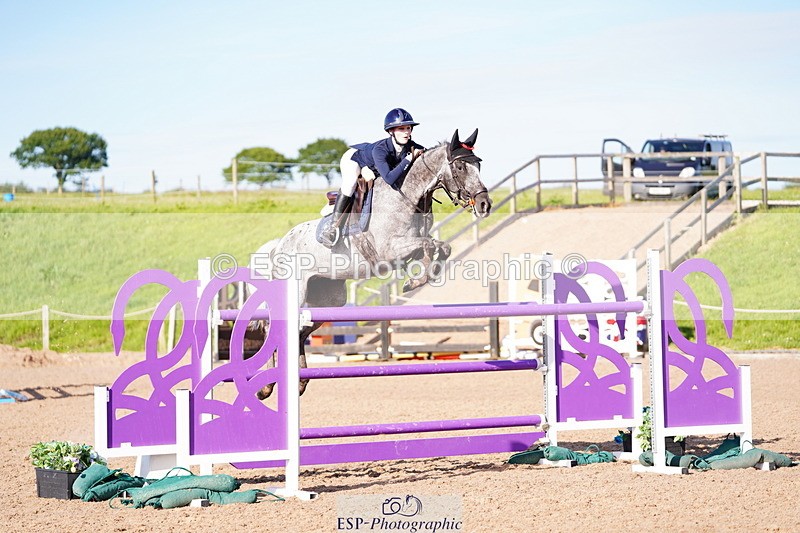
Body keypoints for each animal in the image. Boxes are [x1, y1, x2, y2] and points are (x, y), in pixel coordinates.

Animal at [254, 129, 491, 398]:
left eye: (479, 164)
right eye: (460, 166)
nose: (485, 205)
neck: (406, 198)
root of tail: (279, 244)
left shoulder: (411, 246)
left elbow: (440, 247)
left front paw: (419, 279)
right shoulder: (388, 250)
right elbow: (429, 246)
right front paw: (413, 281)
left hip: (327, 299)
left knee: (299, 331)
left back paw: (299, 382)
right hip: (296, 291)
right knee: (275, 328)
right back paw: (267, 387)